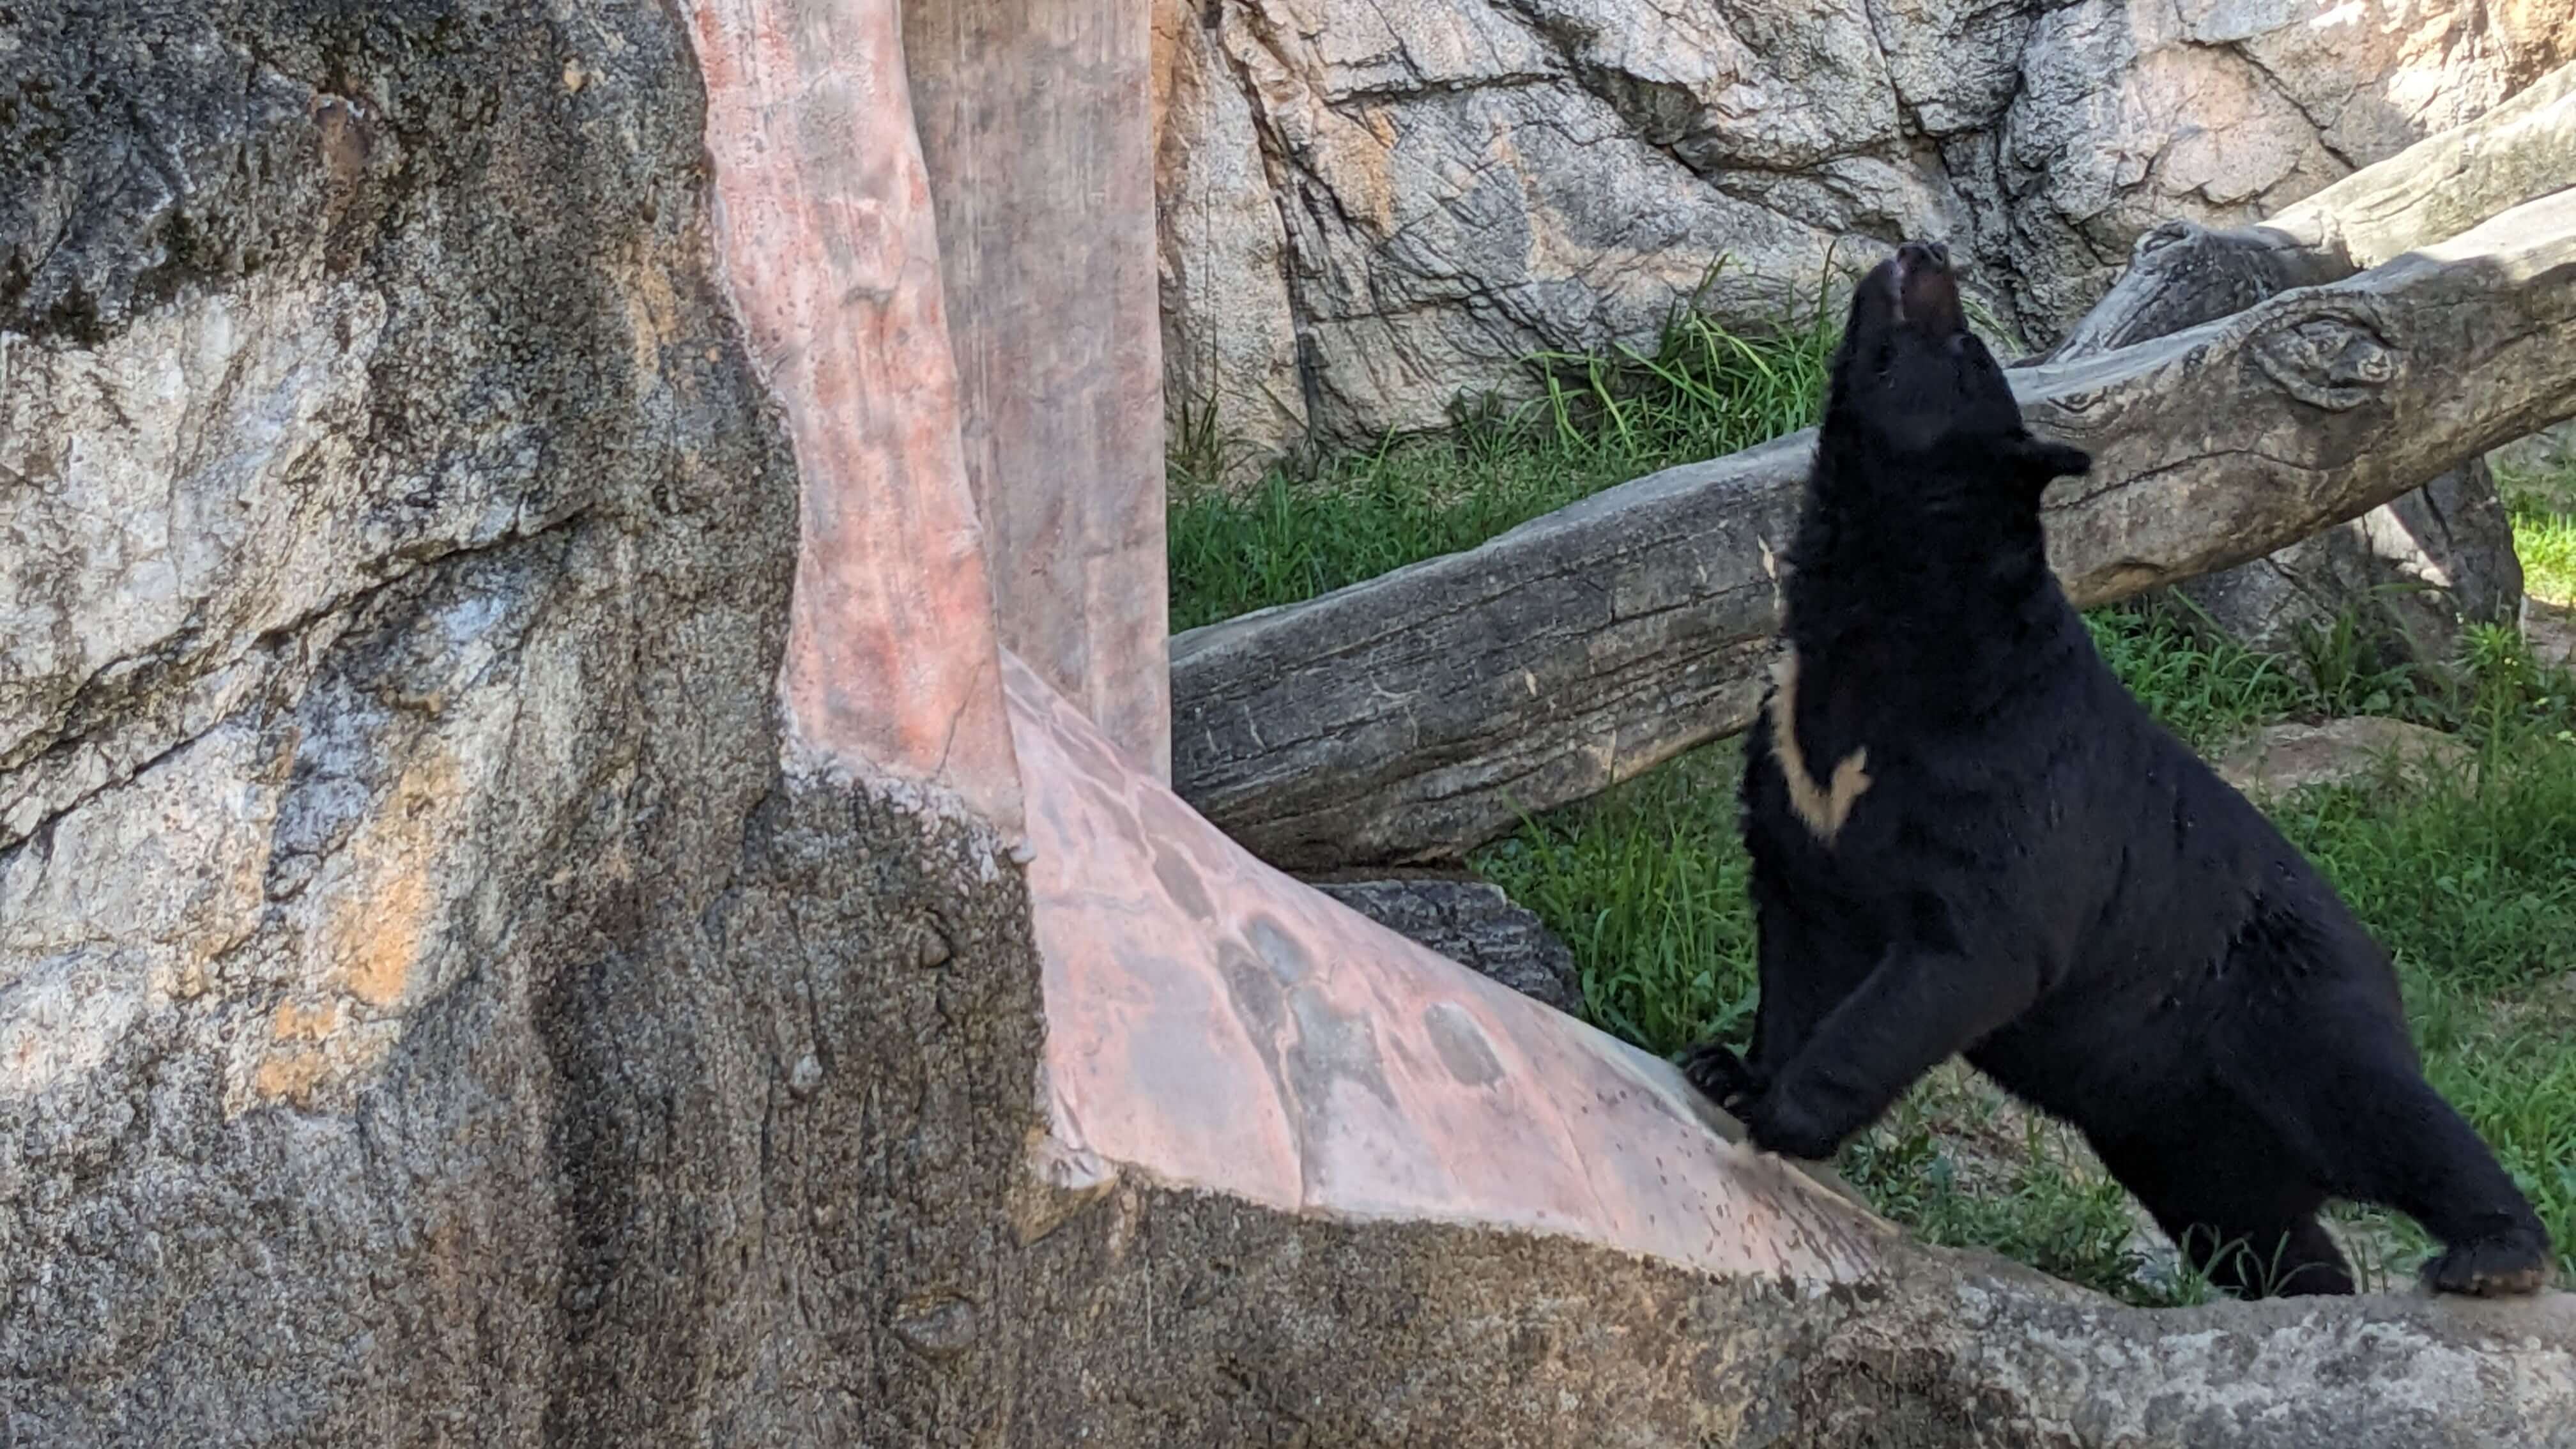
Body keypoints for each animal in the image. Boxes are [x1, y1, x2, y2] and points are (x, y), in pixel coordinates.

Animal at [1680, 239, 2555, 1300]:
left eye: (1963, 346)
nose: (1925, 254)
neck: (1883, 615)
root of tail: (2381, 963)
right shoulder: (1801, 761)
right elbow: (1799, 930)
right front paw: (1729, 1072)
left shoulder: (1993, 775)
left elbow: (1973, 948)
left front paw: (1784, 1114)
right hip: (2179, 1124)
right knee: (2260, 1228)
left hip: (2291, 1009)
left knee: (2382, 1112)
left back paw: (2494, 1255)